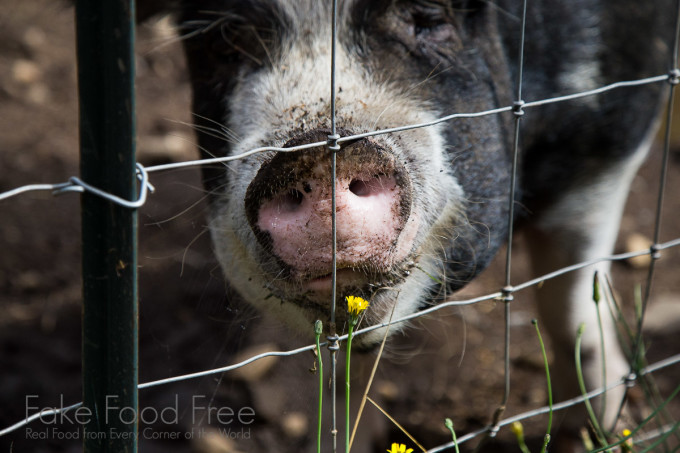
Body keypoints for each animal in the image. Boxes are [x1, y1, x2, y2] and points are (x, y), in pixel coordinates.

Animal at [150, 0, 676, 448]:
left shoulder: (616, 133)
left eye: (428, 17)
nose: (314, 155)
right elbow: (342, 373)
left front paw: (597, 431)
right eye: (224, 41)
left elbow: (569, 302)